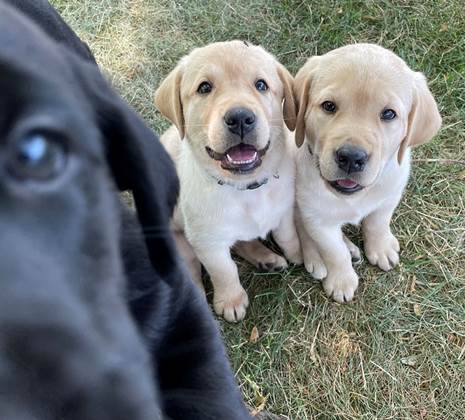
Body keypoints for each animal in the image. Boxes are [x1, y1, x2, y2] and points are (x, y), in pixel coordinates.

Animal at [154, 41, 302, 322]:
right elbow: (224, 270)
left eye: (261, 85)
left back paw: (266, 258)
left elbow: (287, 235)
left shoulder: (284, 210)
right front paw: (231, 300)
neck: (246, 188)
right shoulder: (207, 242)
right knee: (192, 273)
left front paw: (298, 252)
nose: (241, 117)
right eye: (204, 88)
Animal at [292, 44, 440, 302]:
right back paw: (317, 257)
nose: (351, 157)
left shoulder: (389, 196)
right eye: (328, 106)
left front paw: (381, 248)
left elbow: (377, 223)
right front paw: (341, 280)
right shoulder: (317, 219)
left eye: (389, 114)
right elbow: (333, 252)